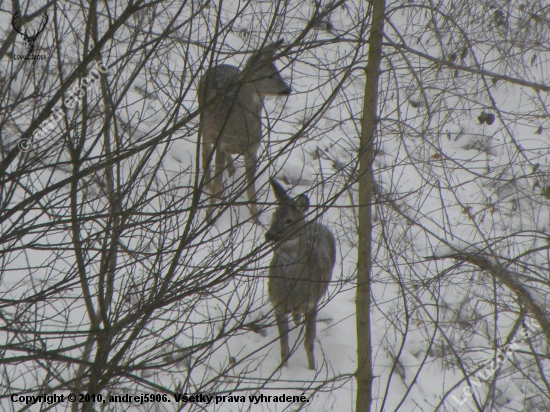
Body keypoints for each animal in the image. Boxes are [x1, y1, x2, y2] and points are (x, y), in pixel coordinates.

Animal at [198, 40, 294, 222]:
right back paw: (206, 183)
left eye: (278, 71)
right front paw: (208, 217)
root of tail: (217, 66)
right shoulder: (220, 144)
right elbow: (218, 185)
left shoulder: (252, 151)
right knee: (204, 151)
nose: (287, 89)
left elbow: (251, 190)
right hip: (205, 125)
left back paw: (231, 169)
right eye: (269, 75)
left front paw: (256, 219)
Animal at [266, 178, 338, 370]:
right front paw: (283, 368)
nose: (270, 235)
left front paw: (312, 369)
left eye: (289, 220)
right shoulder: (277, 304)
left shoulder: (311, 304)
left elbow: (309, 343)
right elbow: (284, 345)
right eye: (274, 215)